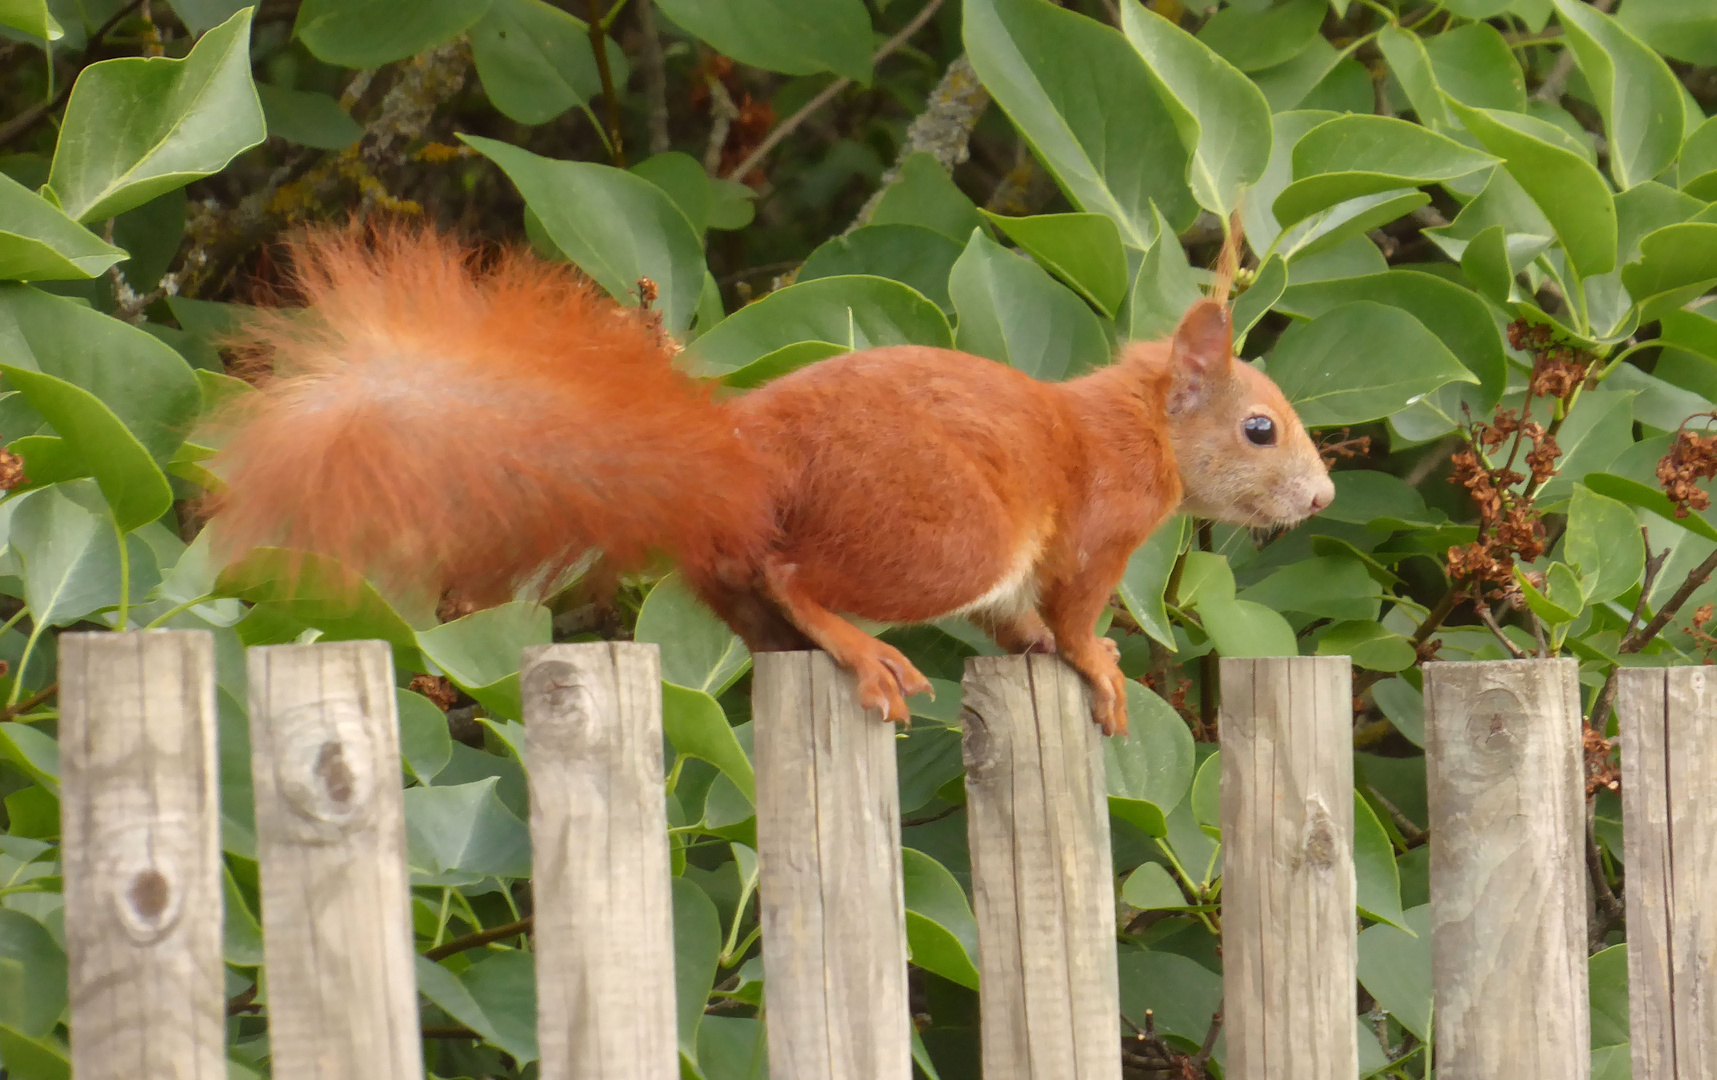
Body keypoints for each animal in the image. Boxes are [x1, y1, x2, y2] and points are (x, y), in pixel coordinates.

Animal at [207, 226, 1332, 731]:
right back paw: (861, 651)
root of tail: (748, 458)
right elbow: (1071, 609)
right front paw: (1097, 668)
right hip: (945, 535)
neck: (1132, 422)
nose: (1320, 498)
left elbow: (1016, 624)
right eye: (1261, 428)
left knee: (762, 609)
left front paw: (1040, 657)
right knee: (802, 581)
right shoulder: (1100, 526)